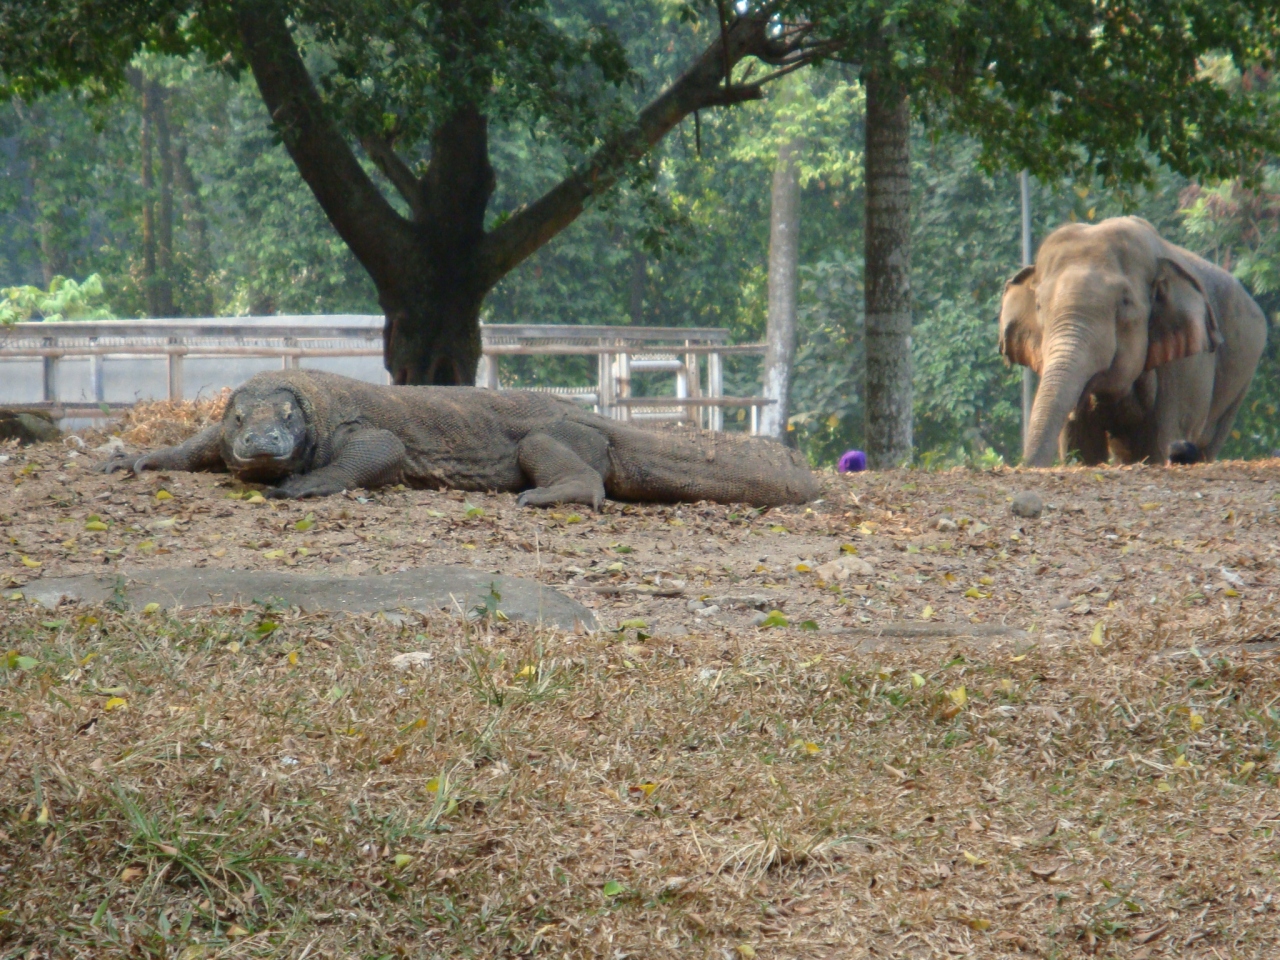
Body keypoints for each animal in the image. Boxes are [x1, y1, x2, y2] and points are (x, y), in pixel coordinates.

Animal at [998, 215, 1259, 471]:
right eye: (1039, 305)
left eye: (1124, 302)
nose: (1026, 465)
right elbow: (1081, 442)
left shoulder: (1184, 369)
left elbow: (1160, 439)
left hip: (1238, 387)